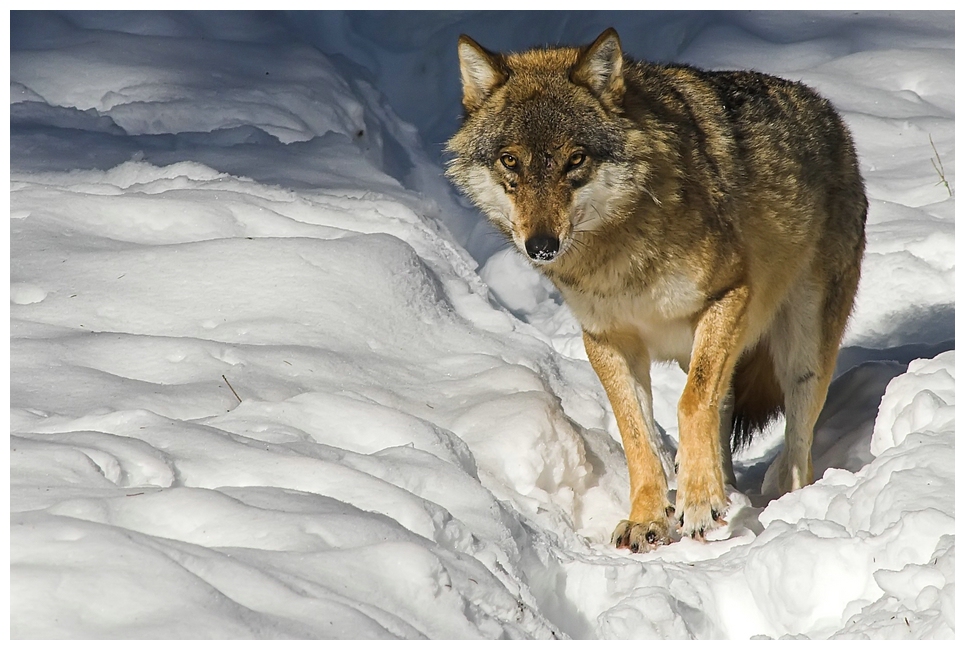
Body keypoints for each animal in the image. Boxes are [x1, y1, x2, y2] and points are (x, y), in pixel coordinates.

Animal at [444, 27, 868, 548]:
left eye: (575, 159)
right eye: (510, 161)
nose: (541, 245)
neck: (618, 257)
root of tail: (830, 114)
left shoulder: (729, 296)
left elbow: (690, 403)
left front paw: (699, 503)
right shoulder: (607, 339)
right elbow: (637, 435)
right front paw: (650, 517)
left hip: (800, 348)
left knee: (795, 437)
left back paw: (781, 497)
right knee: (723, 406)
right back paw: (722, 490)